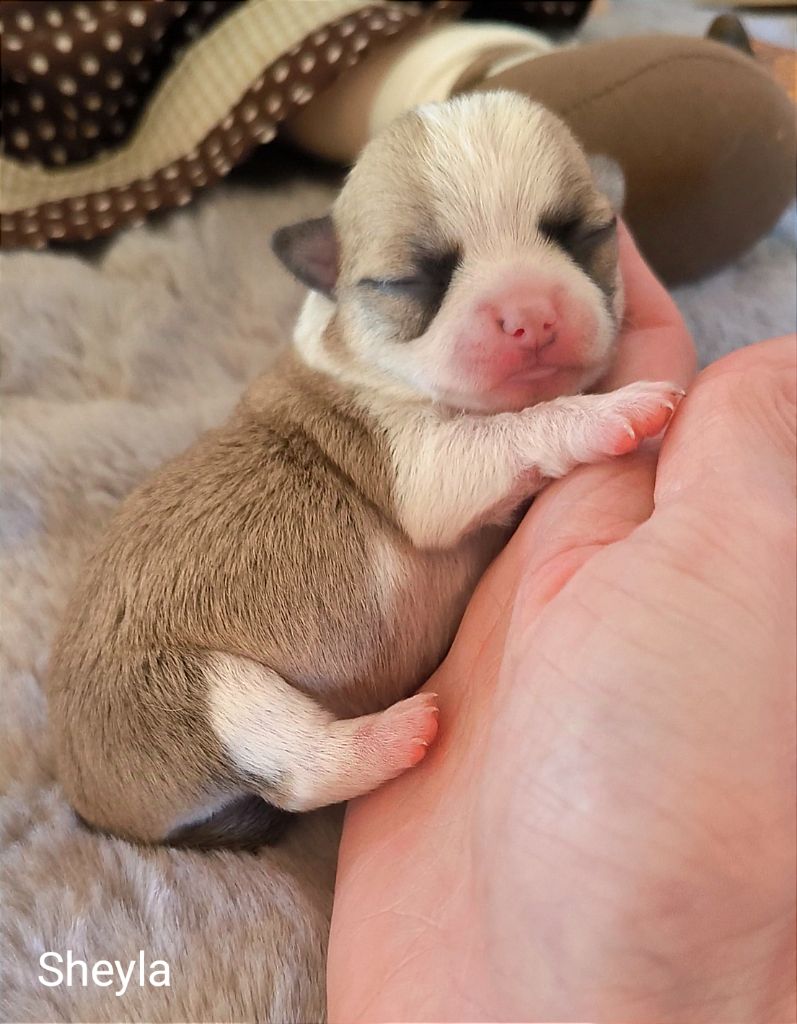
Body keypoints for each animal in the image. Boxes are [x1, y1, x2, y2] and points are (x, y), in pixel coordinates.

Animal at [48, 94, 684, 847]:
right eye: (415, 280)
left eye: (582, 234)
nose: (528, 315)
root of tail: (90, 807)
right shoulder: (420, 464)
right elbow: (517, 428)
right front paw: (612, 410)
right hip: (192, 695)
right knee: (295, 768)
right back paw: (391, 735)